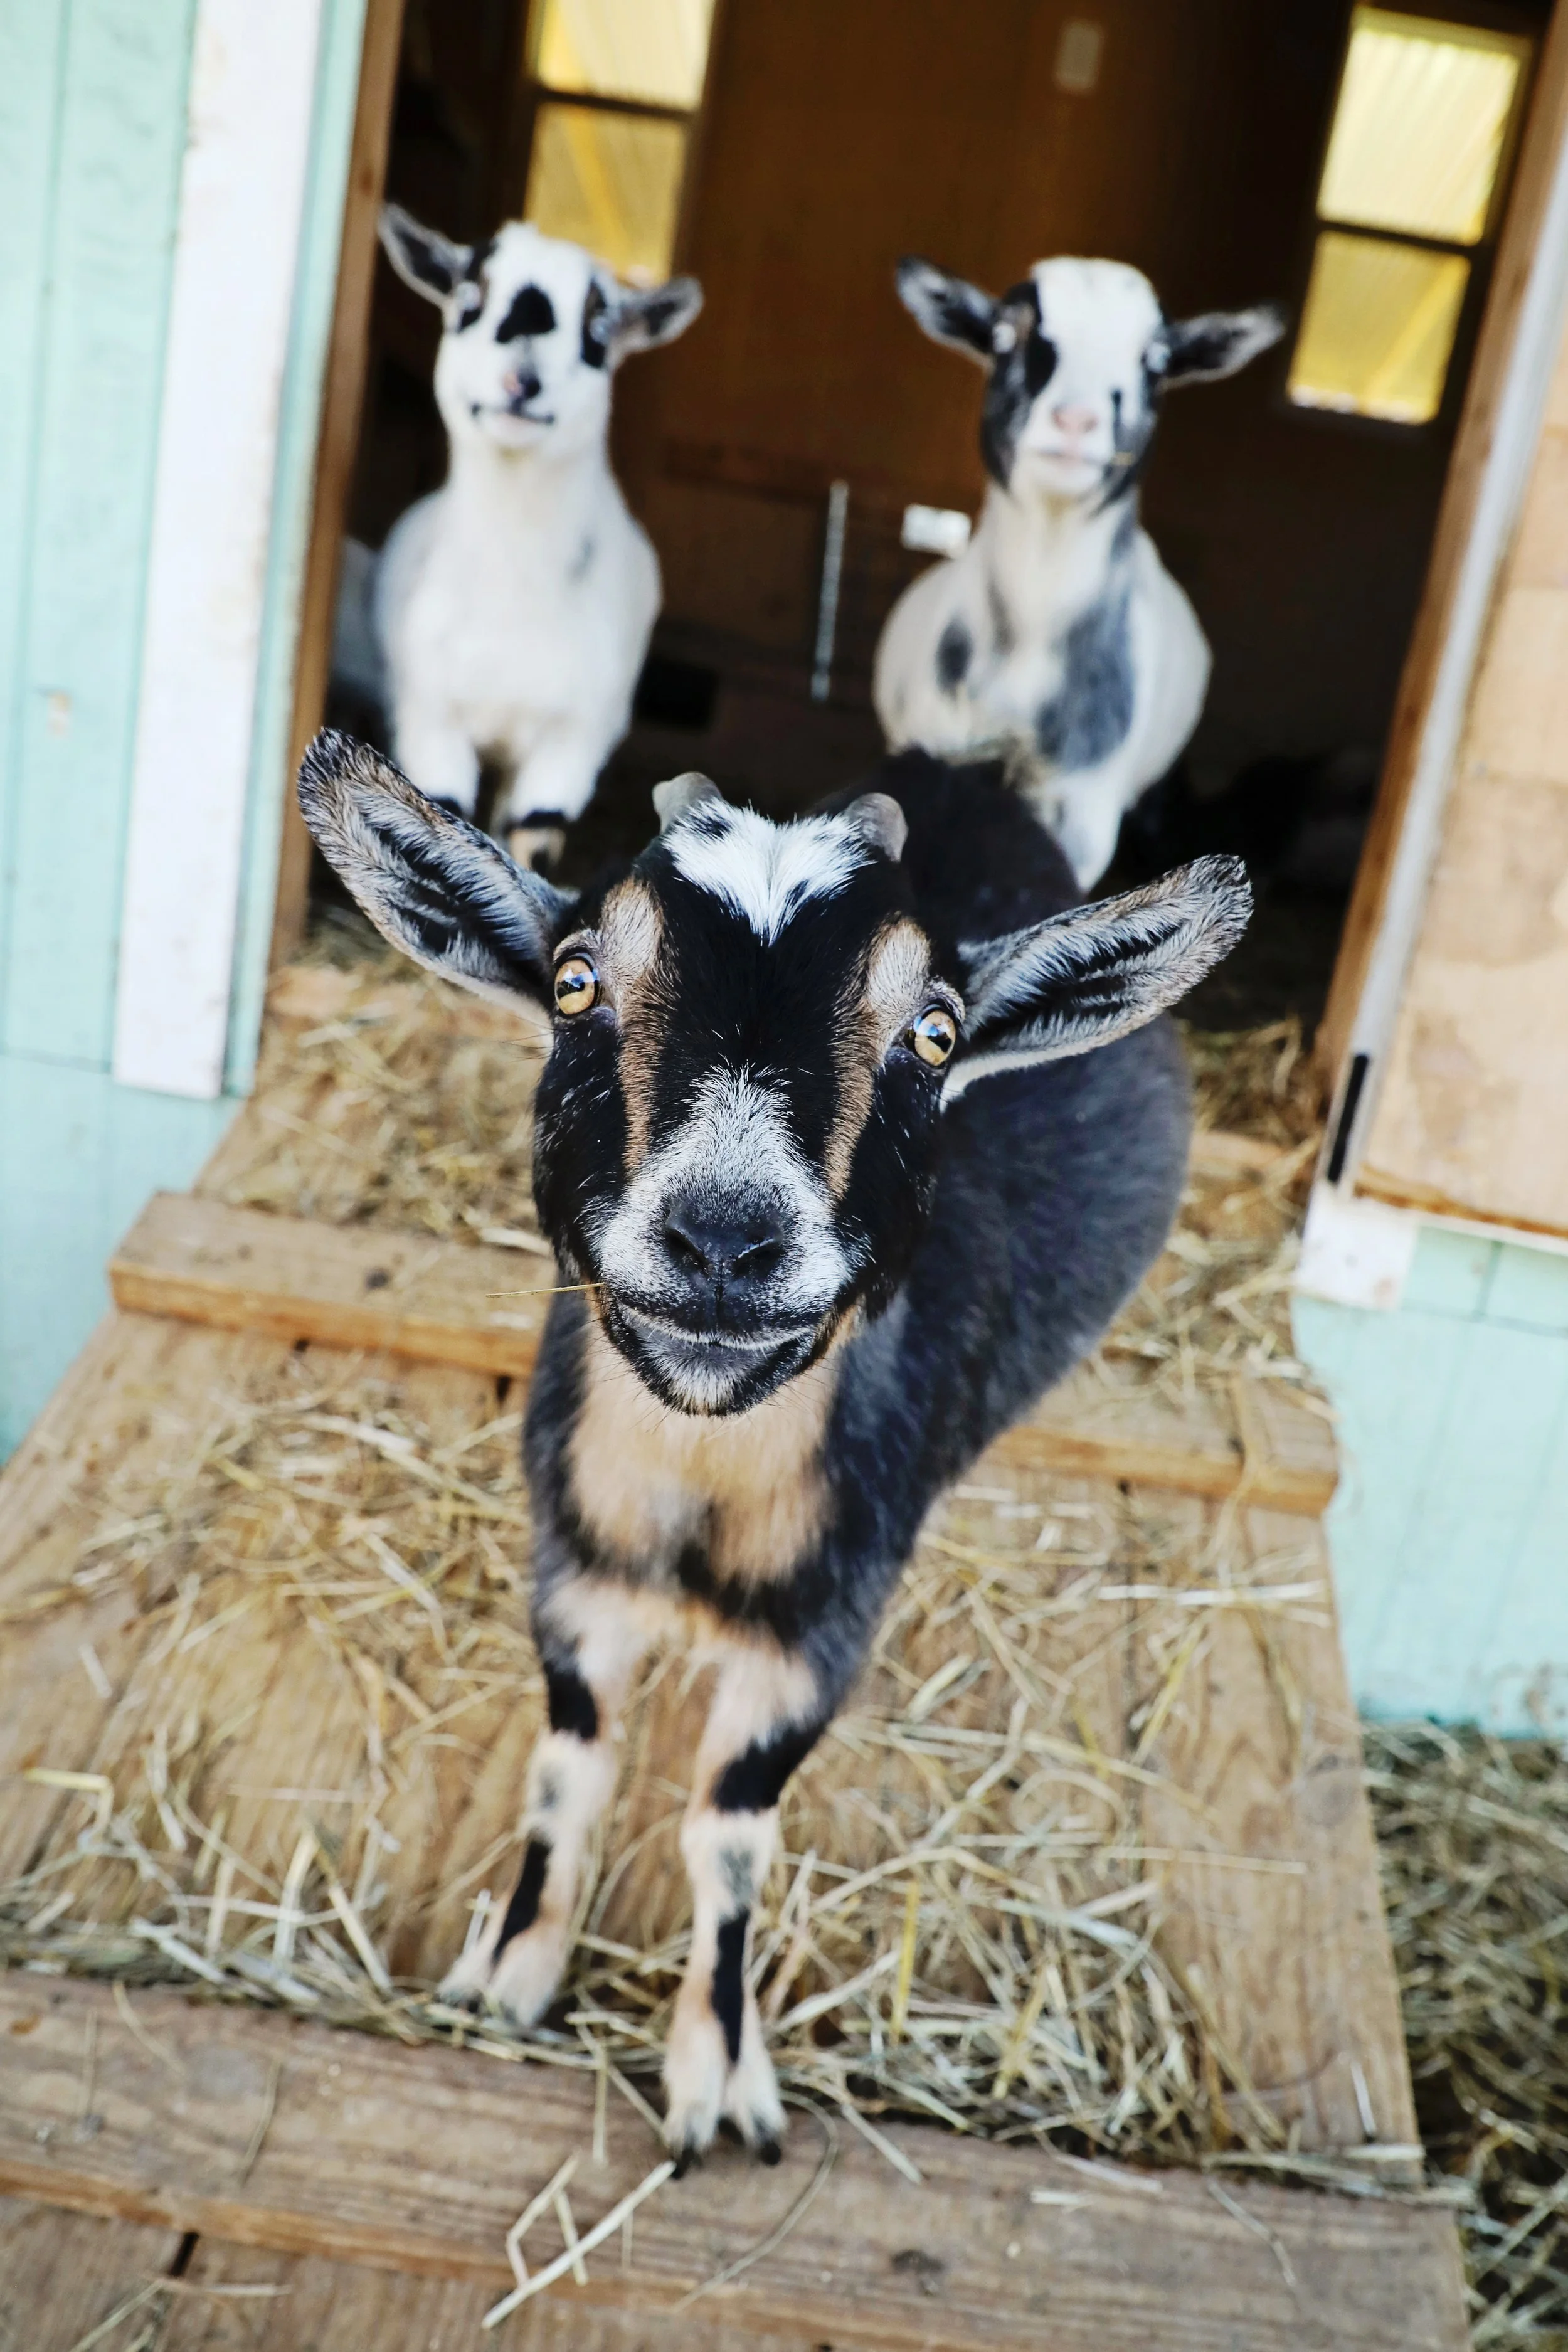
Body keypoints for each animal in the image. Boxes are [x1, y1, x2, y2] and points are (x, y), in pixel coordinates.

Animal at [297, 727, 1250, 2165]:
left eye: (935, 1031)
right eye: (573, 980)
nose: (725, 1238)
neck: (700, 1486)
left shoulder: (818, 1638)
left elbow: (728, 1835)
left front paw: (715, 2069)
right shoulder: (572, 1575)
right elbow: (567, 1777)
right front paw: (512, 1968)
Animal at [373, 206, 703, 865]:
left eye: (599, 325)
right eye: (468, 298)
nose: (521, 382)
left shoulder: (576, 736)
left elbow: (534, 841)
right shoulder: (430, 716)